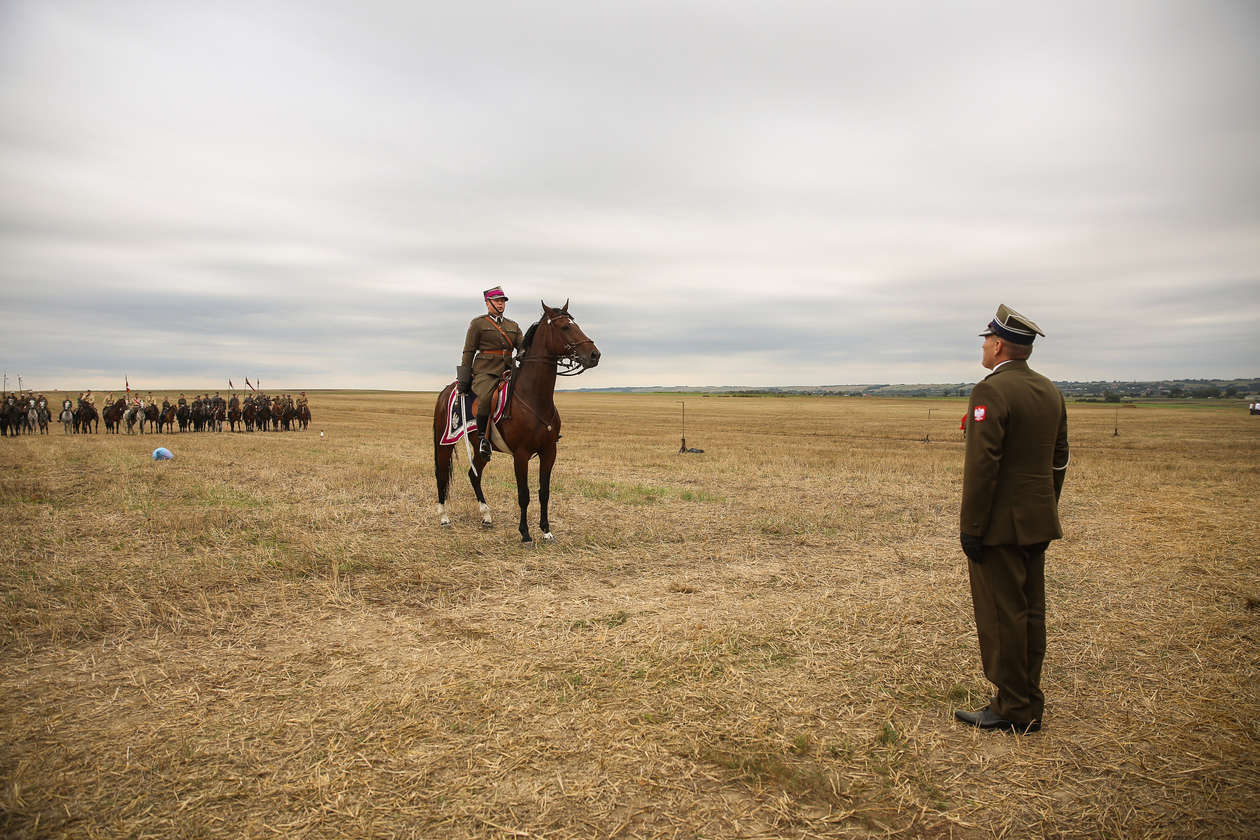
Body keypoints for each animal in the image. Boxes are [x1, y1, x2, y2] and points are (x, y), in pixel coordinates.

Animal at [433, 302, 599, 546]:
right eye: (565, 327)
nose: (594, 354)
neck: (534, 397)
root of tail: (448, 389)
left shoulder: (549, 452)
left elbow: (544, 492)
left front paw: (546, 530)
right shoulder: (521, 455)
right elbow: (524, 494)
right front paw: (525, 534)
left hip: (481, 449)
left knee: (474, 475)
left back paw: (486, 515)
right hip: (444, 442)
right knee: (442, 474)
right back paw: (444, 517)